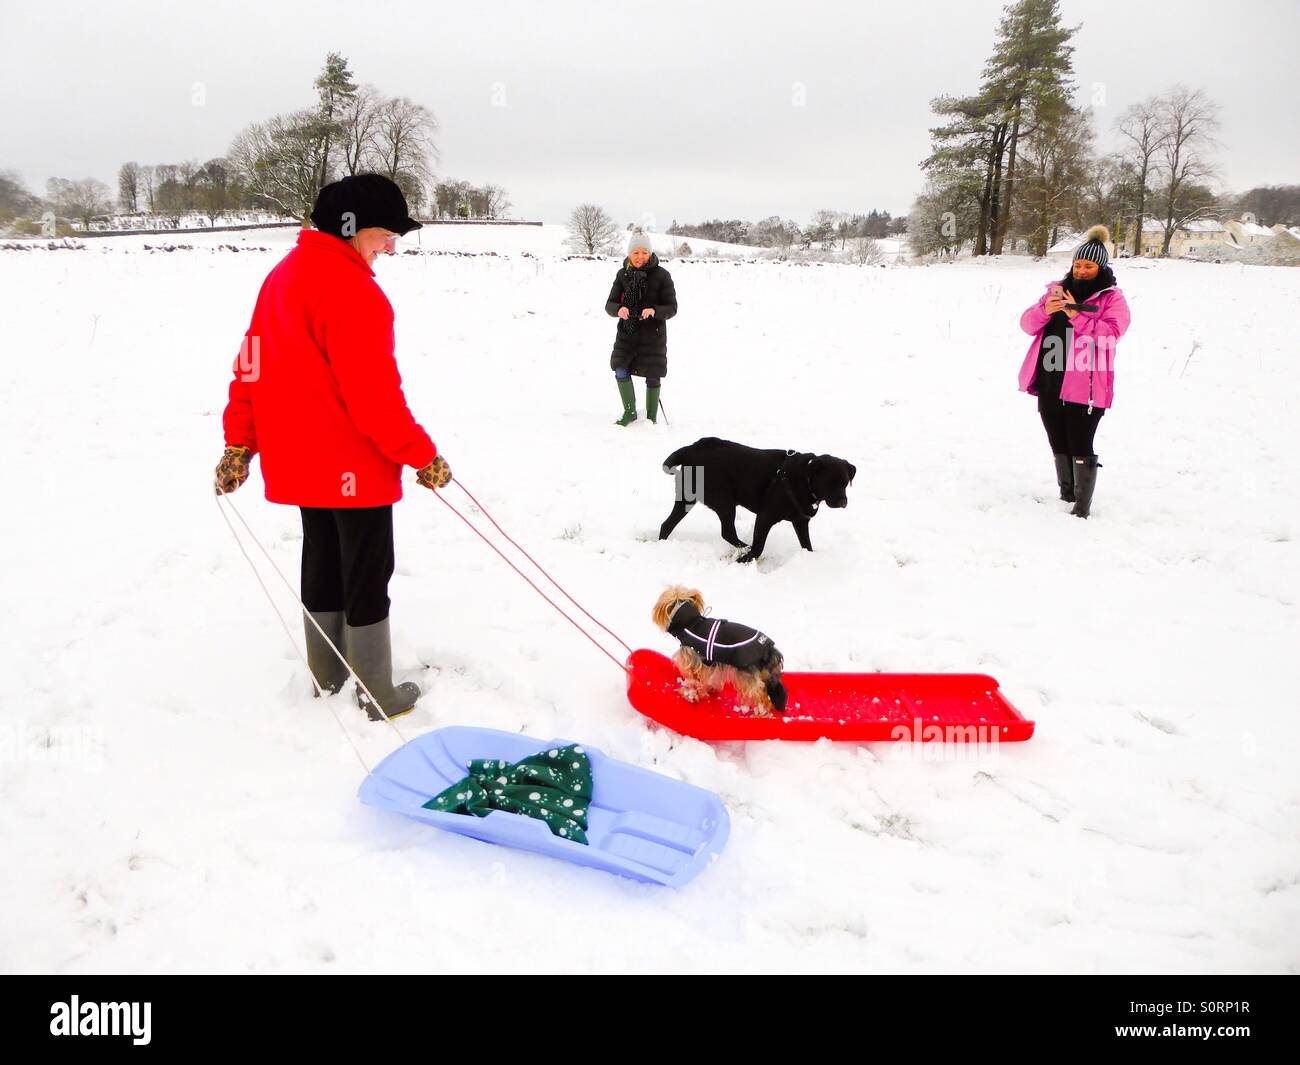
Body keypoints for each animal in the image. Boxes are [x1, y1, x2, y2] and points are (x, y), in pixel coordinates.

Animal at [655, 582, 785, 717]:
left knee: (760, 694)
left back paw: (761, 712)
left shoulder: (693, 658)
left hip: (745, 676)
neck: (691, 622)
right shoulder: (713, 664)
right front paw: (709, 689)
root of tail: (769, 649)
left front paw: (690, 694)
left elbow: (695, 679)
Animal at [660, 434, 852, 566]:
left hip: (686, 499)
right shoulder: (765, 516)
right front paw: (746, 559)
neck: (805, 480)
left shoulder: (800, 521)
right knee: (727, 532)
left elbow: (807, 545)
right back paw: (744, 548)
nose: (843, 502)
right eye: (829, 483)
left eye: (845, 483)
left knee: (666, 525)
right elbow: (758, 546)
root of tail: (692, 448)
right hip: (725, 502)